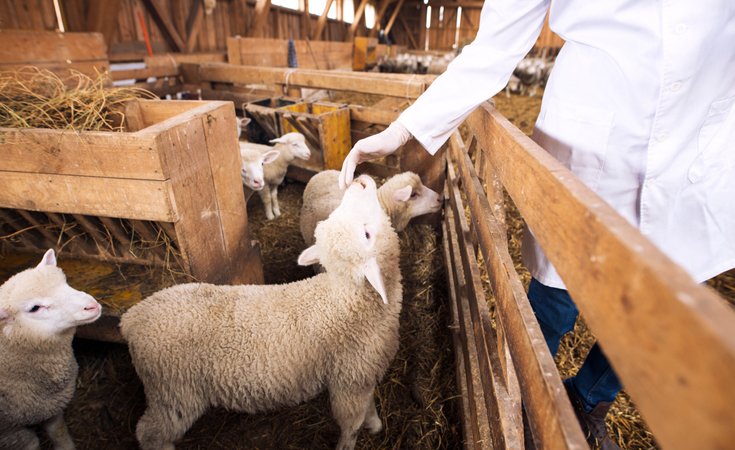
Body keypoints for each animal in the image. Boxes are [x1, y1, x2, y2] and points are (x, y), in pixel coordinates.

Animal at [0, 250, 101, 450]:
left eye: (65, 283)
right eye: (34, 308)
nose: (92, 305)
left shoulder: (50, 405)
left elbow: (58, 430)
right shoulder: (9, 432)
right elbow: (31, 443)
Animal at [123, 175, 406, 450]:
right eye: (367, 234)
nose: (360, 182)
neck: (349, 298)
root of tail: (132, 318)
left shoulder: (364, 376)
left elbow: (369, 406)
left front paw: (375, 425)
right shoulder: (349, 380)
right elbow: (351, 424)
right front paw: (351, 440)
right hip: (174, 391)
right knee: (148, 432)